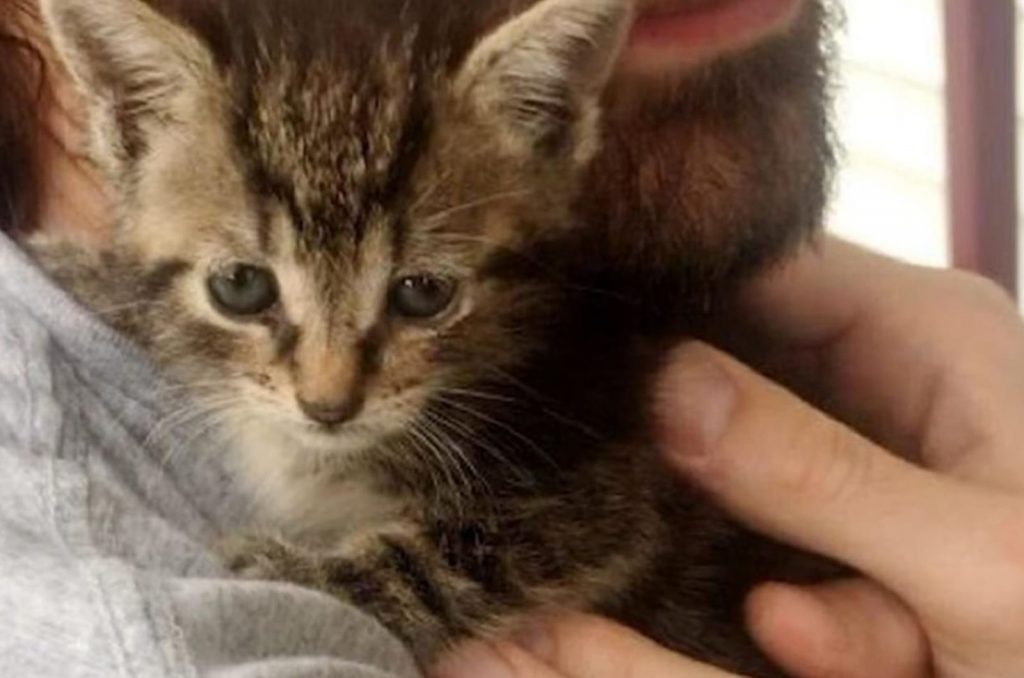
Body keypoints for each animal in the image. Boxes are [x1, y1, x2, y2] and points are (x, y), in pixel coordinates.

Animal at [36, 0, 827, 675]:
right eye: (240, 286)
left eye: (423, 294)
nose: (328, 406)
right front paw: (86, 270)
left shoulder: (609, 486)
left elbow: (439, 561)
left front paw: (296, 571)